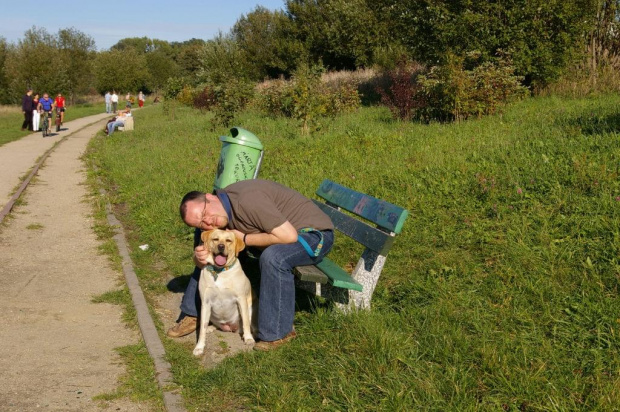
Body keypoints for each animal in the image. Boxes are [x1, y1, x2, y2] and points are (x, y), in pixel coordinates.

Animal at [191, 229, 254, 358]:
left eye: (228, 240)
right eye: (215, 239)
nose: (221, 246)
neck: (219, 271)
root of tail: (229, 327)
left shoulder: (241, 299)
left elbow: (245, 322)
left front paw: (248, 338)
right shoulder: (205, 303)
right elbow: (202, 328)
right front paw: (199, 347)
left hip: (249, 308)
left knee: (245, 323)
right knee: (211, 324)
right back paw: (210, 328)